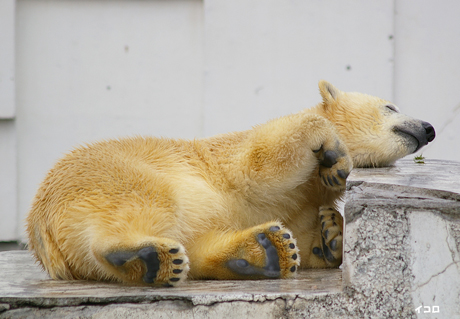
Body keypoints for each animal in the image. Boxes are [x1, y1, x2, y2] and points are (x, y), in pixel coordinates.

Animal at [26, 81, 434, 286]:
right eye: (390, 107)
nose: (428, 127)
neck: (307, 189)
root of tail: (39, 229)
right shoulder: (232, 158)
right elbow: (264, 161)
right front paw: (334, 157)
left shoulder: (295, 203)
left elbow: (306, 234)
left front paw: (330, 231)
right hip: (107, 176)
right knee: (145, 201)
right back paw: (142, 256)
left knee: (196, 243)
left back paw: (266, 251)